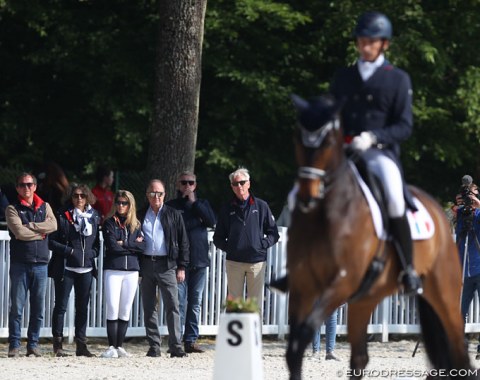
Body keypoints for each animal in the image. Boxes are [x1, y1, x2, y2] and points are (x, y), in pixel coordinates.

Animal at [284, 93, 474, 378]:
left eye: (327, 141)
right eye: (297, 137)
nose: (308, 195)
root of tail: (438, 210)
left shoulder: (342, 282)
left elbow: (306, 332)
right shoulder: (303, 285)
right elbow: (294, 350)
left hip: (446, 294)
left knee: (459, 350)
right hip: (365, 300)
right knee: (360, 358)